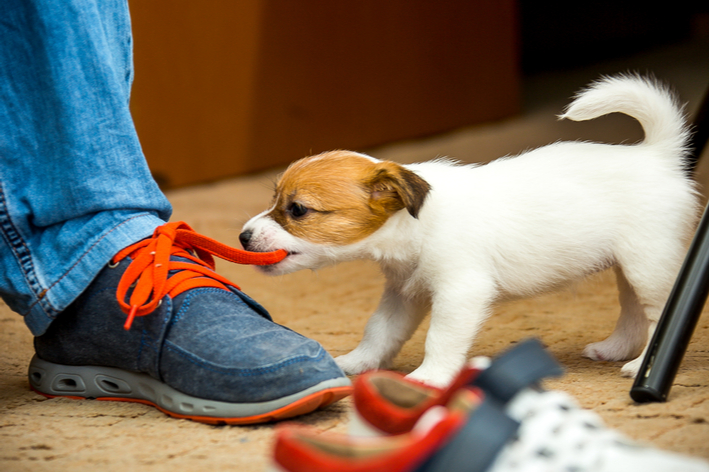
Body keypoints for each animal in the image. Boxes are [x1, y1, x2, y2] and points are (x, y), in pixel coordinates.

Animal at [239, 74, 700, 388]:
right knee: (634, 311)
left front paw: (429, 377)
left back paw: (640, 366)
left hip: (649, 263)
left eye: (298, 210)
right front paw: (356, 363)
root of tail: (658, 156)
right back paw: (615, 349)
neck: (416, 224)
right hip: (629, 265)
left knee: (659, 313)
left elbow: (440, 339)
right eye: (275, 199)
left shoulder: (460, 293)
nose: (243, 237)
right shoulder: (402, 295)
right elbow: (379, 333)